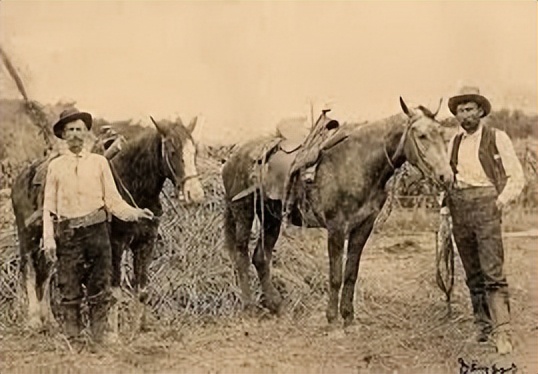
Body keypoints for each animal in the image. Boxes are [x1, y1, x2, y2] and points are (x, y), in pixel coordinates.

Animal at [222, 98, 452, 326]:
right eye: (421, 135)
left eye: (442, 134)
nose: (446, 177)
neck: (357, 163)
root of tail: (231, 160)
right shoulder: (336, 227)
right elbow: (336, 275)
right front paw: (332, 317)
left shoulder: (363, 227)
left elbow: (351, 273)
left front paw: (348, 315)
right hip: (243, 212)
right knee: (241, 255)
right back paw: (250, 307)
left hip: (271, 218)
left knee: (261, 257)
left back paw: (275, 305)